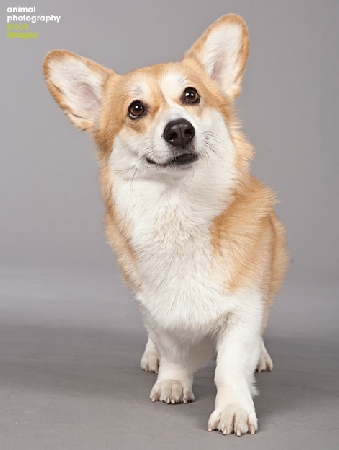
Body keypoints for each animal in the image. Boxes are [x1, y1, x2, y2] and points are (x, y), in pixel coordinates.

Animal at [41, 14, 286, 436]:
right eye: (136, 109)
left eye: (191, 96)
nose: (180, 129)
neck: (178, 207)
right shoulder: (154, 308)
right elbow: (172, 348)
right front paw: (172, 381)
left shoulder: (243, 311)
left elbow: (229, 366)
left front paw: (233, 409)